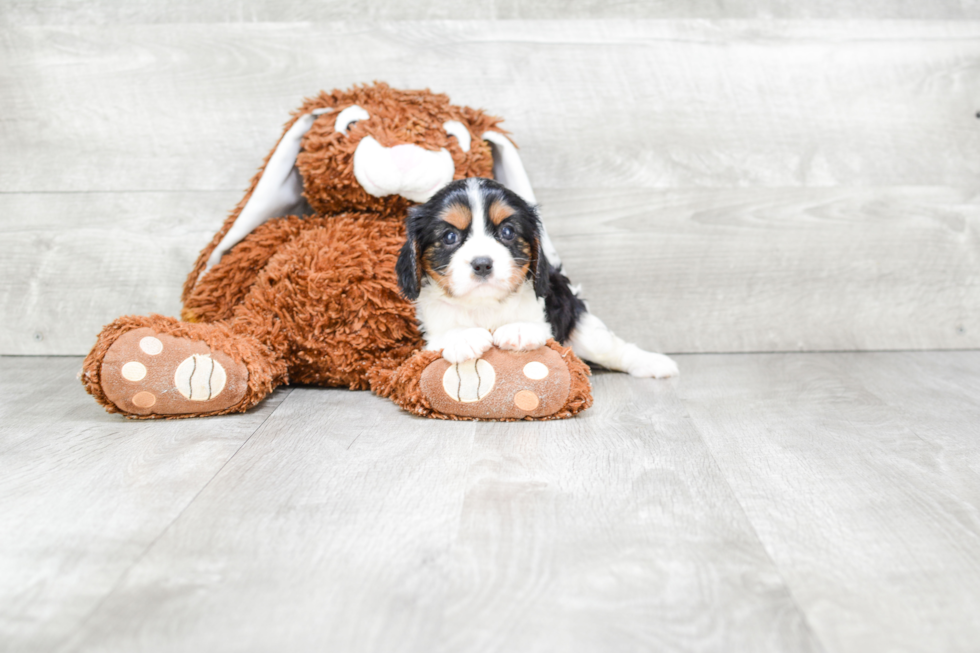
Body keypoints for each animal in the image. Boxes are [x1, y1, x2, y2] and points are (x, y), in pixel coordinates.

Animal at [394, 176, 676, 376]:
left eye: (507, 232)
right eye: (450, 236)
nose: (482, 264)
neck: (485, 305)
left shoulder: (547, 315)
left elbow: (535, 325)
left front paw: (519, 328)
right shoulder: (431, 332)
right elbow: (444, 332)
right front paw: (462, 336)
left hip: (582, 325)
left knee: (612, 349)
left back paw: (655, 364)